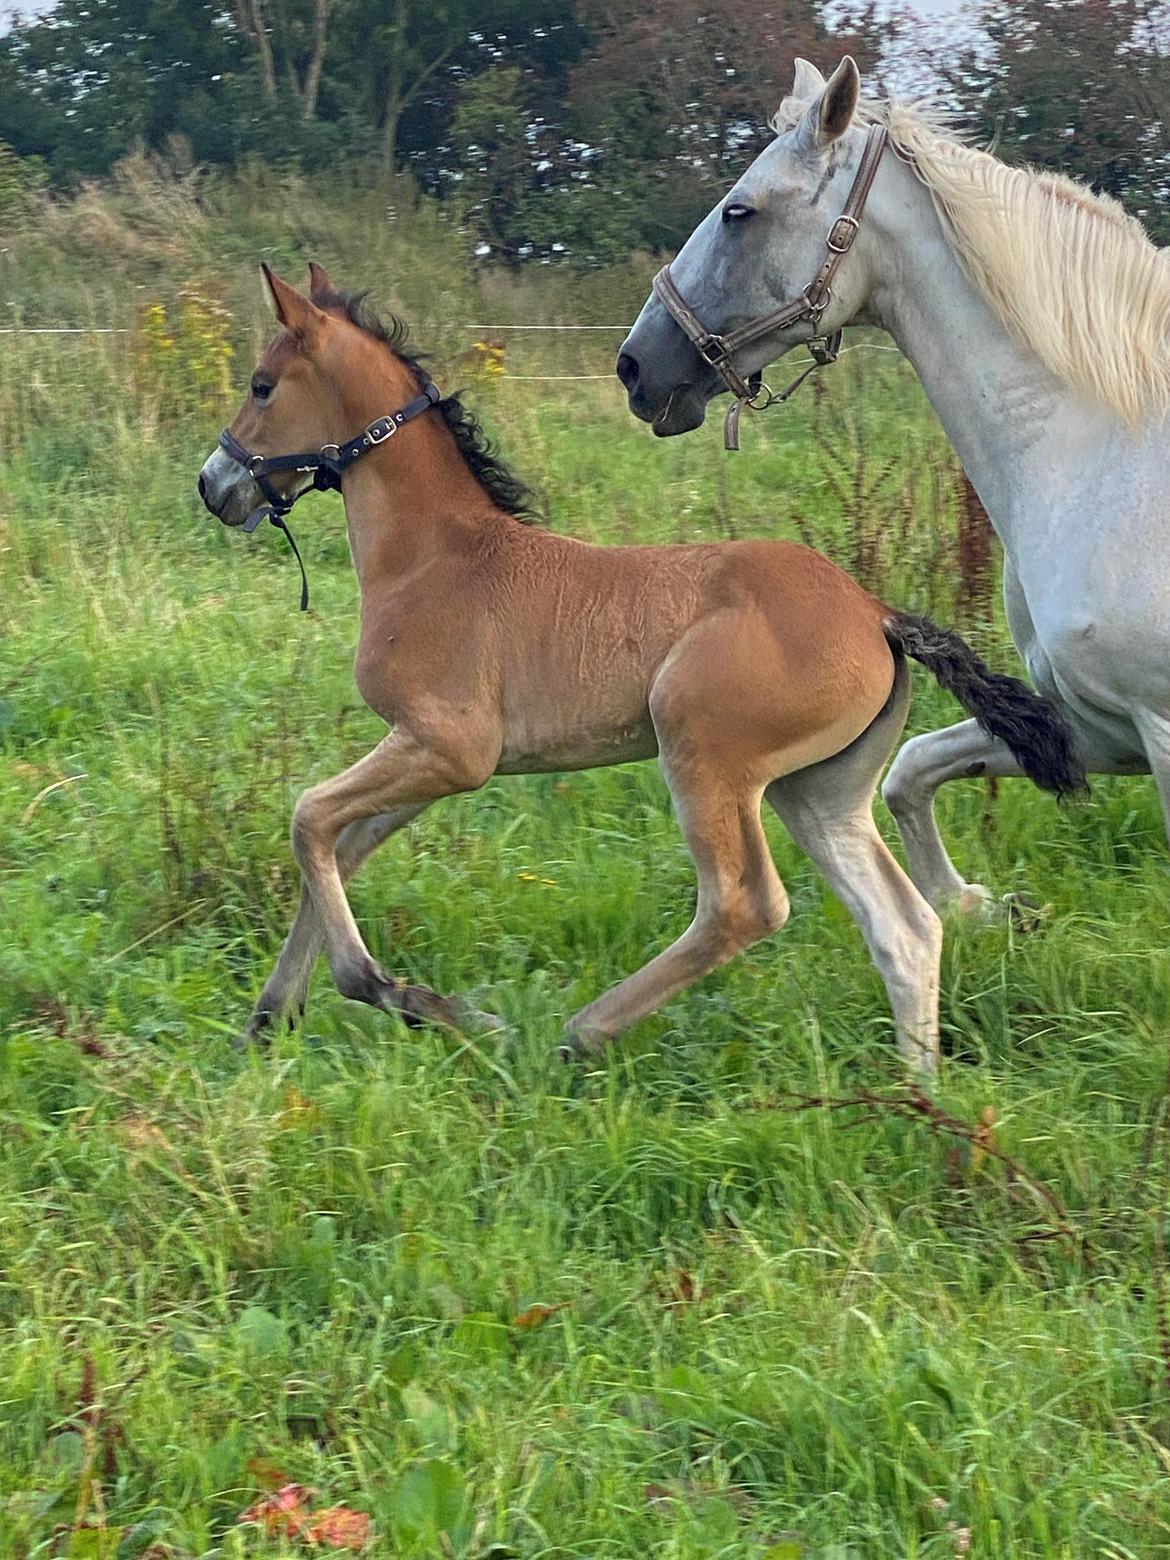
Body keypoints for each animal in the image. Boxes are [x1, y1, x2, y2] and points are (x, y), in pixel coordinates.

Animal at [199, 271, 1079, 1073]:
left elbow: (309, 820)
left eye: (263, 385)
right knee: (904, 925)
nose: (214, 484)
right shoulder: (425, 758)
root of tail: (875, 612)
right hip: (819, 789)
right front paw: (269, 1018)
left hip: (702, 751)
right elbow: (339, 849)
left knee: (744, 905)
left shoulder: (450, 749)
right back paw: (917, 1093)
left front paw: (404, 997)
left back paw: (578, 1034)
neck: (435, 558)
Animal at [624, 57, 1170, 911]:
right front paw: (976, 908)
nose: (635, 365)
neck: (1100, 454)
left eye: (740, 212)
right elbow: (909, 772)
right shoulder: (1095, 725)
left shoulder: (1159, 734)